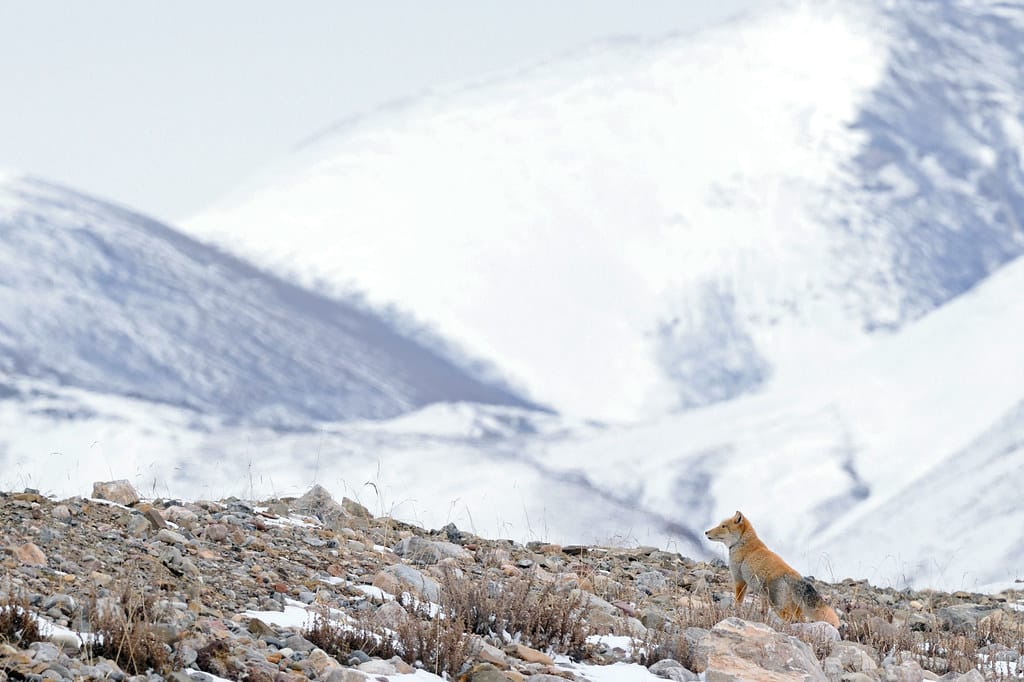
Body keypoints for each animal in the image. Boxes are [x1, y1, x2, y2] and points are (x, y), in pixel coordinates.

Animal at [705, 511, 840, 628]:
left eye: (723, 526)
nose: (706, 532)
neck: (742, 543)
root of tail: (794, 575)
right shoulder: (762, 595)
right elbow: (763, 612)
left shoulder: (739, 580)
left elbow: (738, 602)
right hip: (794, 609)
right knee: (800, 621)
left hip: (778, 606)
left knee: (789, 618)